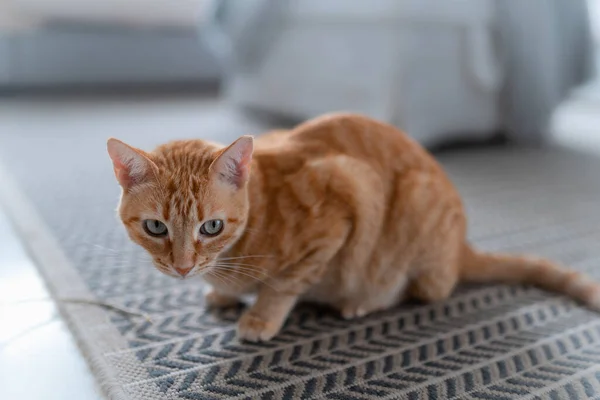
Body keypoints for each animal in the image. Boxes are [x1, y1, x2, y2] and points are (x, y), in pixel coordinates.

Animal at [106, 114, 600, 342]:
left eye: (211, 227)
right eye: (155, 227)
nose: (183, 267)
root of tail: (463, 246)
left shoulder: (341, 207)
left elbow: (283, 285)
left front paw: (260, 316)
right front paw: (222, 294)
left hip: (412, 230)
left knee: (423, 290)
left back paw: (362, 302)